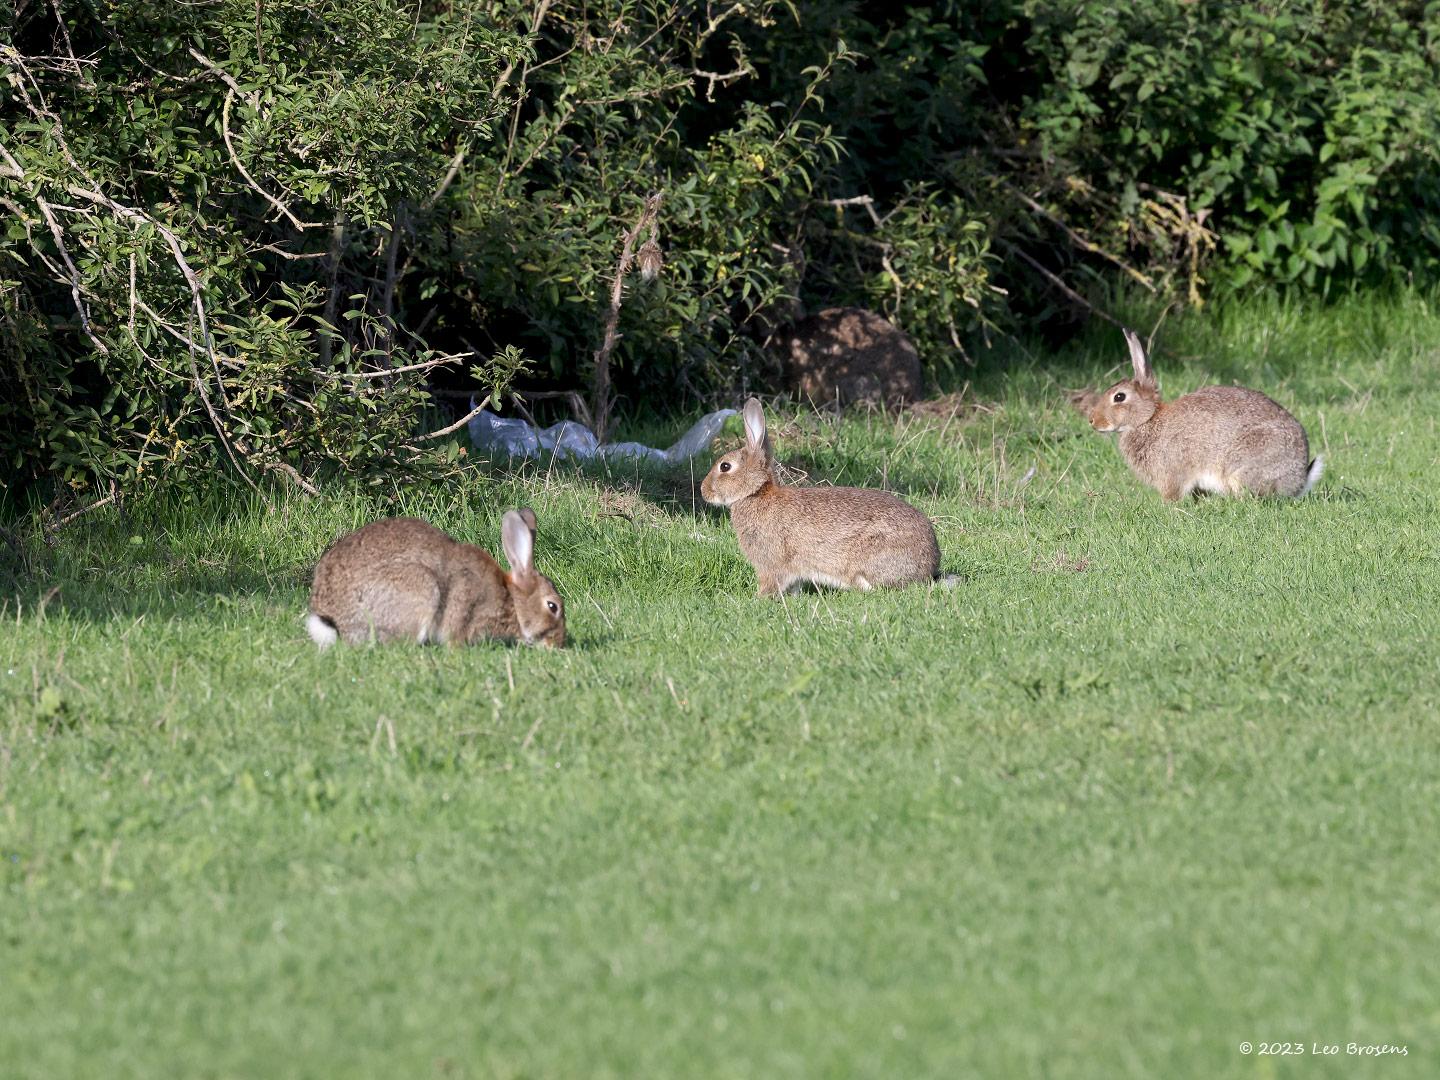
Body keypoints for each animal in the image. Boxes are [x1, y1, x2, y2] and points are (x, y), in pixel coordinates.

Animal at [699, 400, 944, 596]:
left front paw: (759, 599)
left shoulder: (771, 563)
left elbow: (772, 583)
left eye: (725, 467)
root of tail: (929, 564)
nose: (704, 491)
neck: (756, 493)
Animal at [1082, 329, 1324, 504]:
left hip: (1243, 466)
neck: (1147, 419)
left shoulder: (1172, 473)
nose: (1092, 421)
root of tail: (1298, 480)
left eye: (1119, 397)